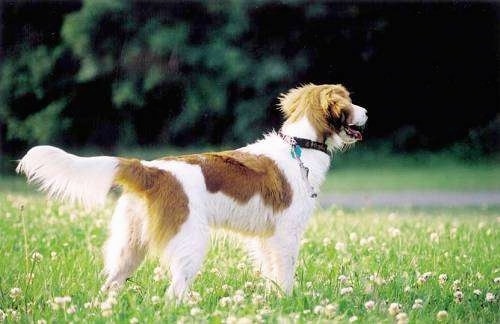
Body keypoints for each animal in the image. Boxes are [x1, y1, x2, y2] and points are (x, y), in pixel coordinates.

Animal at [16, 83, 368, 298]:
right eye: (349, 100)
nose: (367, 112)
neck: (300, 145)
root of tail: (151, 169)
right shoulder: (286, 234)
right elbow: (285, 273)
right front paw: (287, 302)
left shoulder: (267, 238)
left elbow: (271, 273)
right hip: (191, 241)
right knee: (174, 293)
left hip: (130, 246)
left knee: (111, 285)